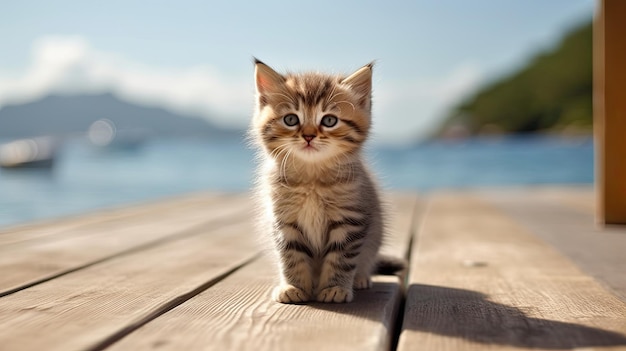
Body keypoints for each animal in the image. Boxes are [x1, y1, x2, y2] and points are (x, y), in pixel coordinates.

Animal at [247, 59, 394, 304]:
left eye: (329, 120)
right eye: (291, 119)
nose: (308, 136)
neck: (311, 178)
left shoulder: (350, 221)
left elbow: (341, 259)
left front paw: (335, 288)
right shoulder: (283, 221)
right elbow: (291, 257)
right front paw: (293, 286)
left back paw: (361, 278)